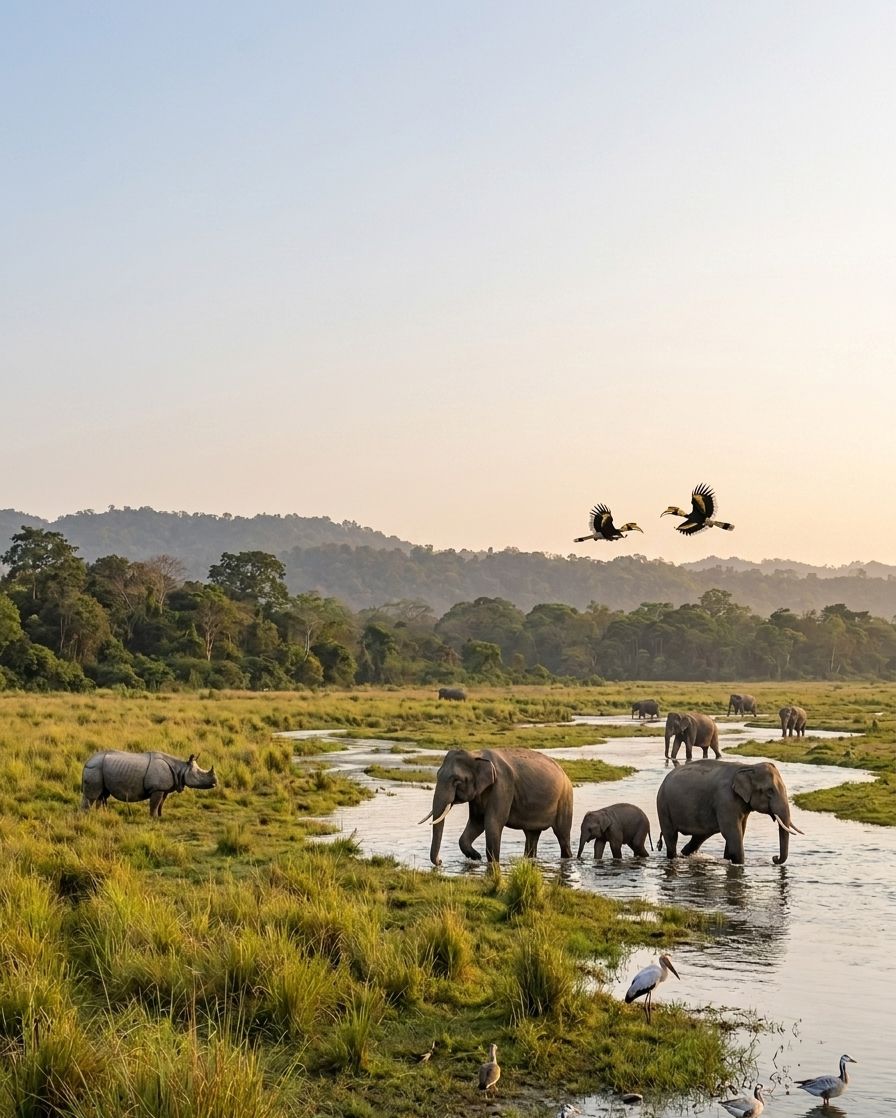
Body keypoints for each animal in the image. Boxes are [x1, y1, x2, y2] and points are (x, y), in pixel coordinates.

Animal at [81, 750, 217, 817]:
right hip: (95, 768)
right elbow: (155, 803)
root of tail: (87, 761)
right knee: (92, 796)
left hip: (100, 769)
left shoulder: (163, 789)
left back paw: (101, 814)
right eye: (199, 775)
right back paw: (86, 816)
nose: (215, 783)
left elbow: (161, 803)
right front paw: (153, 818)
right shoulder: (157, 788)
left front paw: (160, 816)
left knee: (102, 795)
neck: (181, 768)